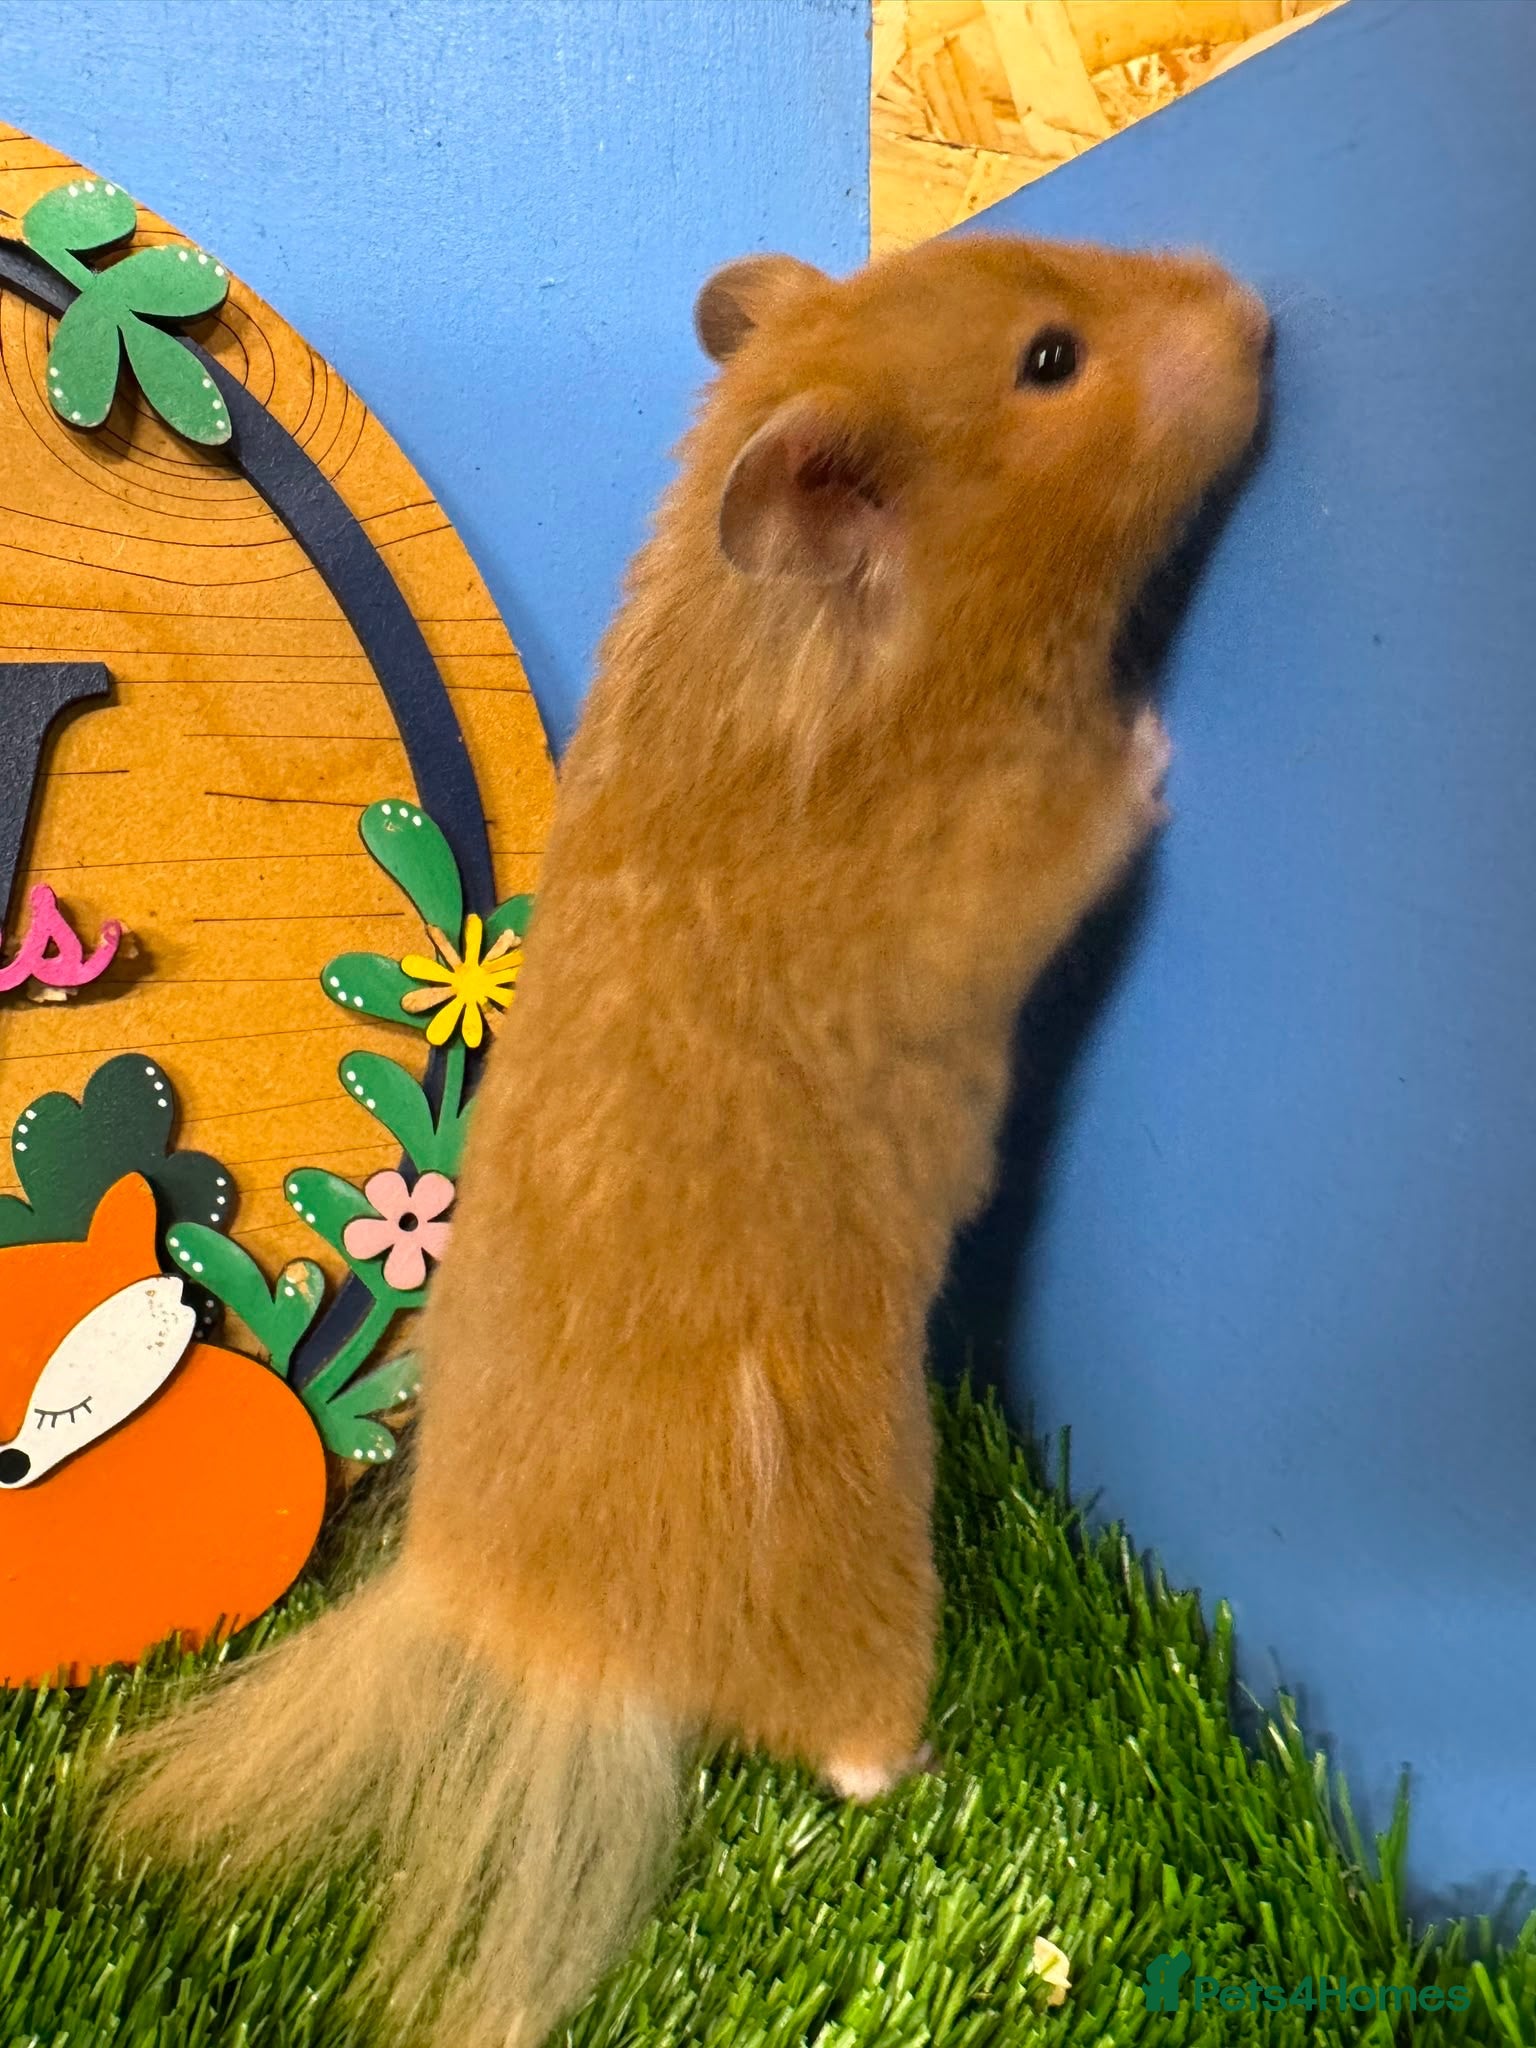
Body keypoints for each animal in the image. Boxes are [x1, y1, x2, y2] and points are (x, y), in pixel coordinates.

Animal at [113, 232, 1268, 2048]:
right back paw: (907, 1758)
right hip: (857, 1545)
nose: (1252, 309)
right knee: (836, 1725)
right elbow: (1087, 818)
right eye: (1051, 361)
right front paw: (1154, 742)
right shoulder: (985, 871)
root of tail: (520, 1627)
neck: (788, 653)